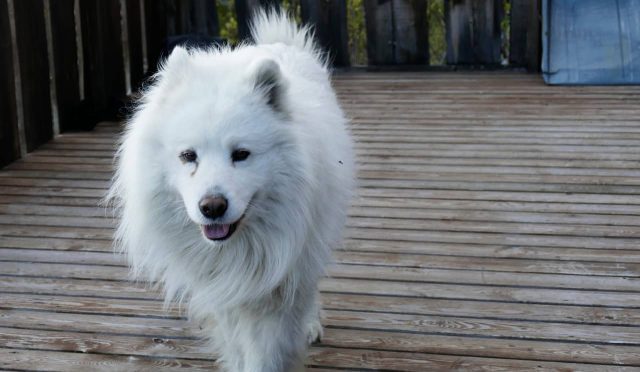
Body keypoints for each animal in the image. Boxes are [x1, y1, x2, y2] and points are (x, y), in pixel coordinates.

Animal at [107, 8, 352, 372]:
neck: (239, 248)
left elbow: (267, 352)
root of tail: (278, 45)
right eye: (188, 156)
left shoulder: (281, 283)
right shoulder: (224, 290)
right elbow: (236, 342)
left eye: (241, 154)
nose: (212, 207)